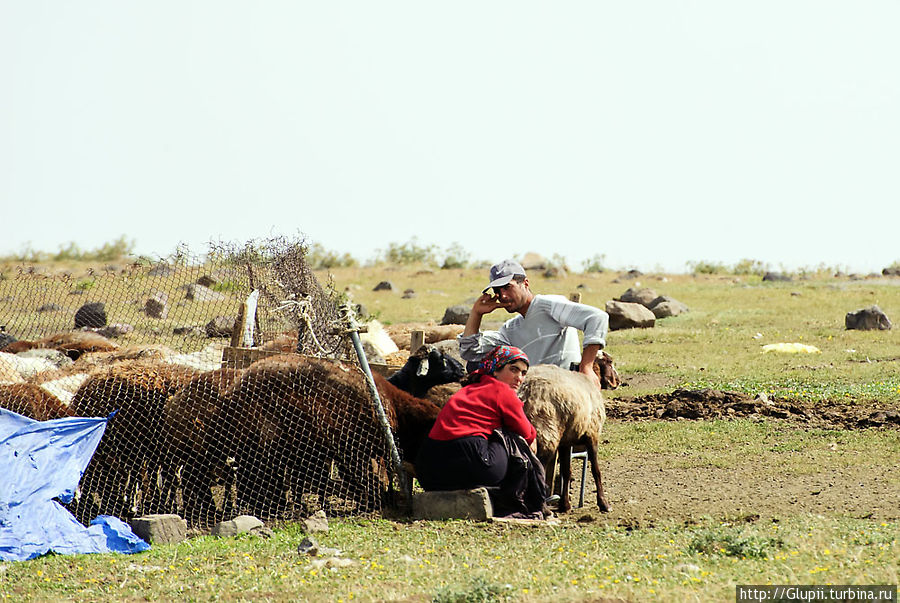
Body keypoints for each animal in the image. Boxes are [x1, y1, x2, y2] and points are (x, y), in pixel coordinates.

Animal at [512, 364, 612, 516]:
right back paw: (544, 509)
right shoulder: (592, 434)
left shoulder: (566, 442)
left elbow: (566, 471)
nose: (616, 382)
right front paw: (603, 503)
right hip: (546, 434)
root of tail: (522, 393)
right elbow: (596, 471)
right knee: (538, 468)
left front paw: (565, 505)